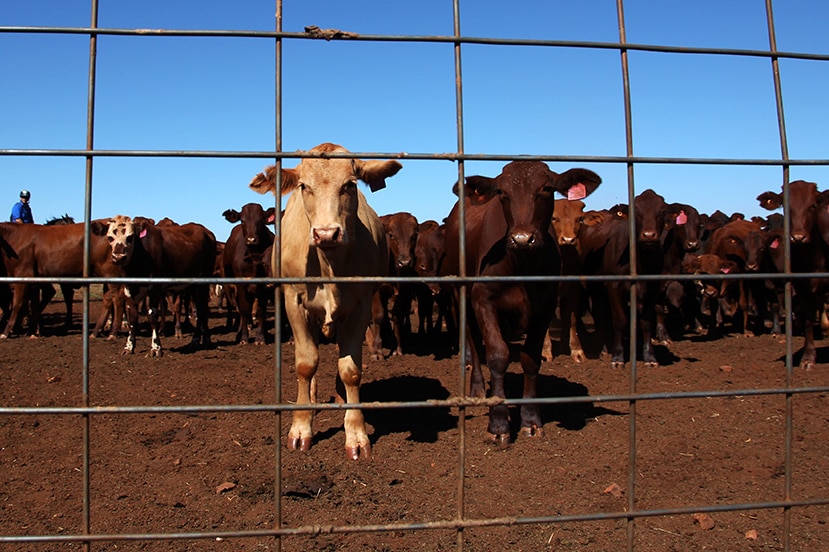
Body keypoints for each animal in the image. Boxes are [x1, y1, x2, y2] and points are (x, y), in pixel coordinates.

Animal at [91, 213, 217, 356]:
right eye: (110, 237)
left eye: (130, 237)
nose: (119, 257)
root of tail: (207, 232)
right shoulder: (129, 288)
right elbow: (132, 317)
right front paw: (129, 346)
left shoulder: (155, 288)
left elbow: (152, 316)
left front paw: (156, 348)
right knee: (203, 308)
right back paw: (205, 339)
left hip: (202, 283)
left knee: (201, 310)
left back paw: (195, 341)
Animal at [222, 203, 276, 342]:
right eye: (242, 220)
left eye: (261, 220)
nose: (251, 239)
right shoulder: (241, 284)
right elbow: (244, 308)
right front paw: (244, 337)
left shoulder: (264, 286)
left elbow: (261, 309)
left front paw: (260, 337)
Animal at [246, 140, 402, 460]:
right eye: (304, 186)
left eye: (350, 185)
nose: (327, 233)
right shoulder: (294, 301)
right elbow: (306, 363)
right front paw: (301, 426)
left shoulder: (361, 305)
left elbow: (351, 369)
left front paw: (355, 431)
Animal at [440, 161, 600, 444]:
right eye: (502, 192)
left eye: (546, 188)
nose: (522, 238)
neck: (522, 266)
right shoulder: (483, 299)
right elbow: (497, 355)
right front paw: (498, 424)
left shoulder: (545, 306)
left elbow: (530, 359)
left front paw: (530, 420)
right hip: (462, 294)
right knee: (473, 341)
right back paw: (478, 388)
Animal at [756, 182, 828, 370]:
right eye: (786, 206)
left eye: (812, 205)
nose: (798, 237)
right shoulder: (802, 287)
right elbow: (808, 318)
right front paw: (808, 357)